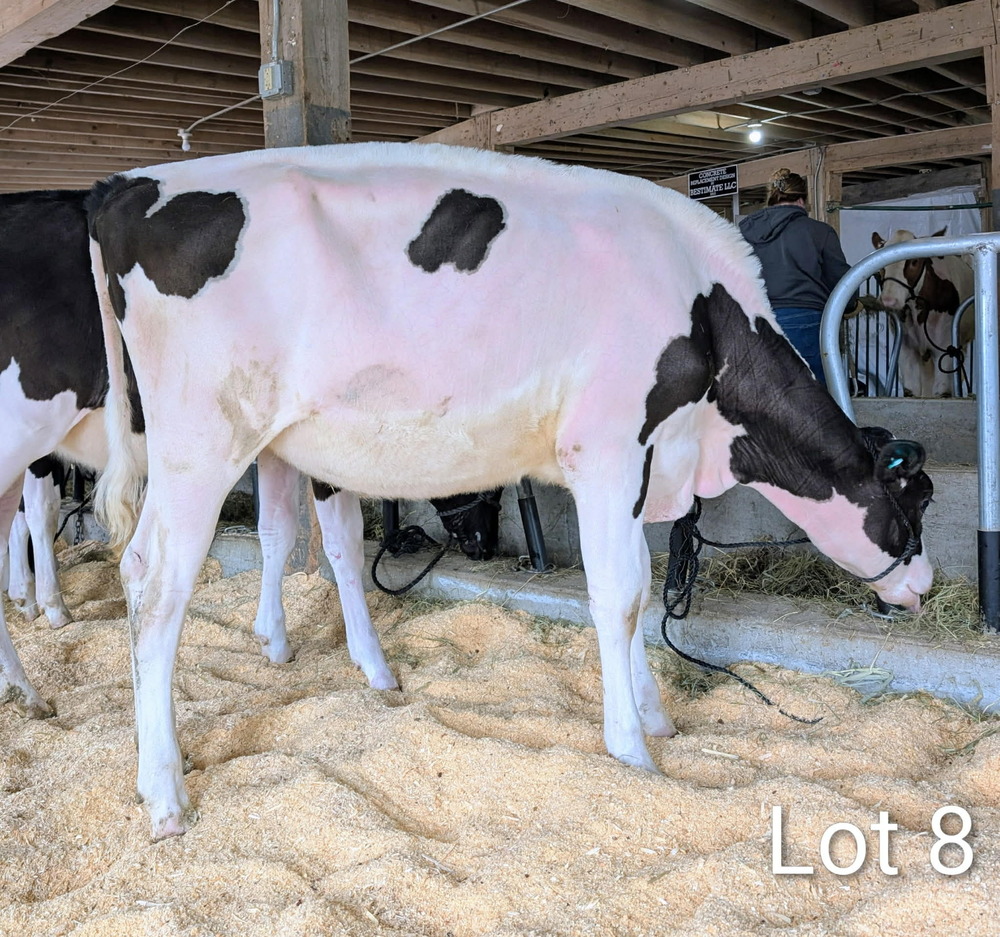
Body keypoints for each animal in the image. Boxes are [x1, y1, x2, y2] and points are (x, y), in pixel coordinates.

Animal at [85, 142, 934, 840]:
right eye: (917, 498)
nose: (925, 583)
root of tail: (127, 183)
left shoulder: (639, 464)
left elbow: (638, 587)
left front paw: (654, 712)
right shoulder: (608, 452)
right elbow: (619, 595)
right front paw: (631, 747)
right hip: (200, 440)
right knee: (153, 580)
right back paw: (163, 793)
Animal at [871, 228, 974, 397]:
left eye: (914, 261)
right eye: (881, 264)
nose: (888, 300)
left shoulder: (944, 348)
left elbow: (942, 391)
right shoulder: (907, 349)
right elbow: (911, 390)